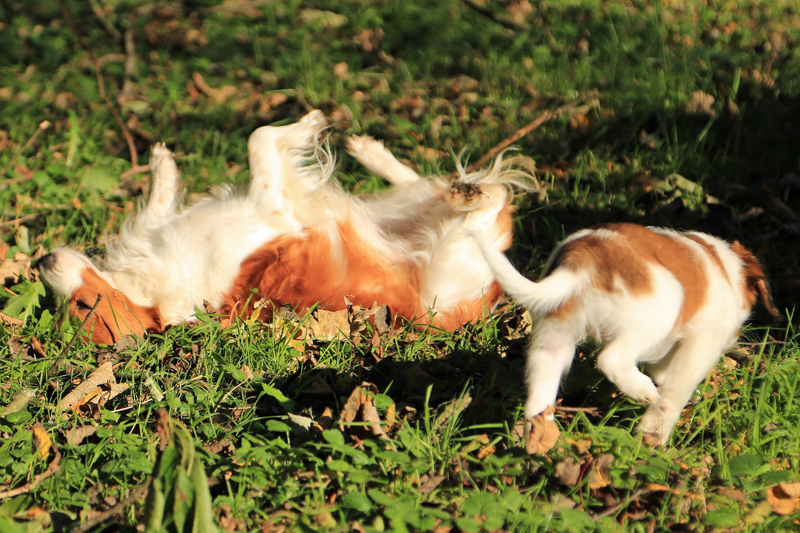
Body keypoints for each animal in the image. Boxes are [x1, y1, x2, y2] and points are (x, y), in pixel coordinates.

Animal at [472, 223, 780, 444]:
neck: (726, 268)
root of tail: (584, 258)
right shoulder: (702, 343)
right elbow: (675, 391)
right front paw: (654, 432)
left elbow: (664, 372)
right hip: (662, 312)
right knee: (611, 359)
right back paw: (643, 391)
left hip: (554, 335)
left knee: (538, 399)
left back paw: (540, 441)